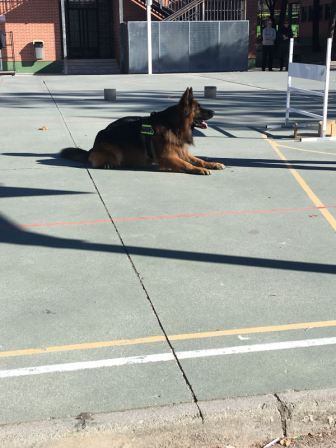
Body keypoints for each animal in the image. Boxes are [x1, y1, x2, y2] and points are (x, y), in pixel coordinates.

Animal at [60, 86, 224, 175]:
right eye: (199, 108)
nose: (214, 112)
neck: (173, 125)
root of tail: (93, 147)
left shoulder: (182, 152)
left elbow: (199, 160)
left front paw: (213, 164)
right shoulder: (167, 157)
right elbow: (187, 165)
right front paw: (198, 169)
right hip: (114, 151)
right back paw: (107, 163)